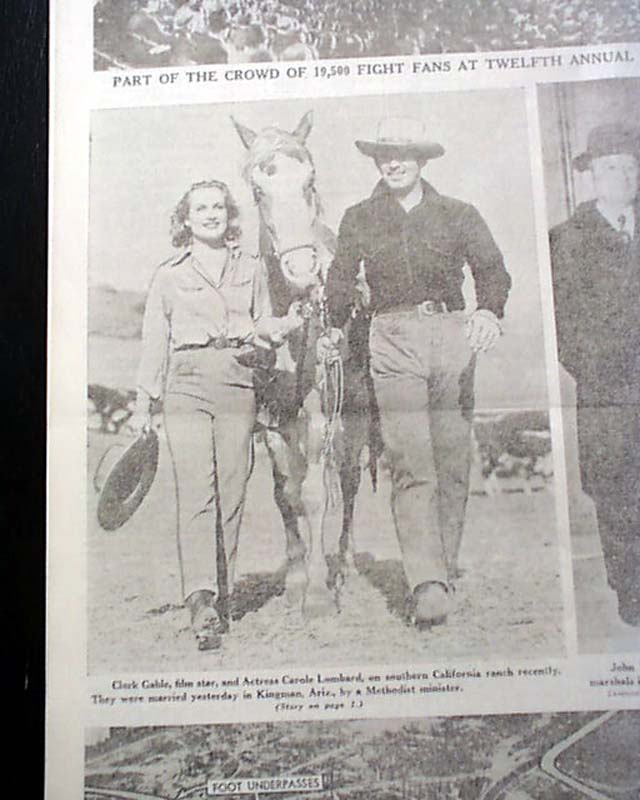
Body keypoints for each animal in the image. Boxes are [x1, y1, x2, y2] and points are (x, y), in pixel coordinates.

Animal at [232, 109, 378, 616]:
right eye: (258, 190)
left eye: (310, 181)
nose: (302, 271)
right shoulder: (273, 419)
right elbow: (285, 495)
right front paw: (296, 579)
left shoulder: (319, 413)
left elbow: (314, 495)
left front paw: (316, 593)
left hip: (354, 412)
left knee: (348, 482)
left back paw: (346, 564)